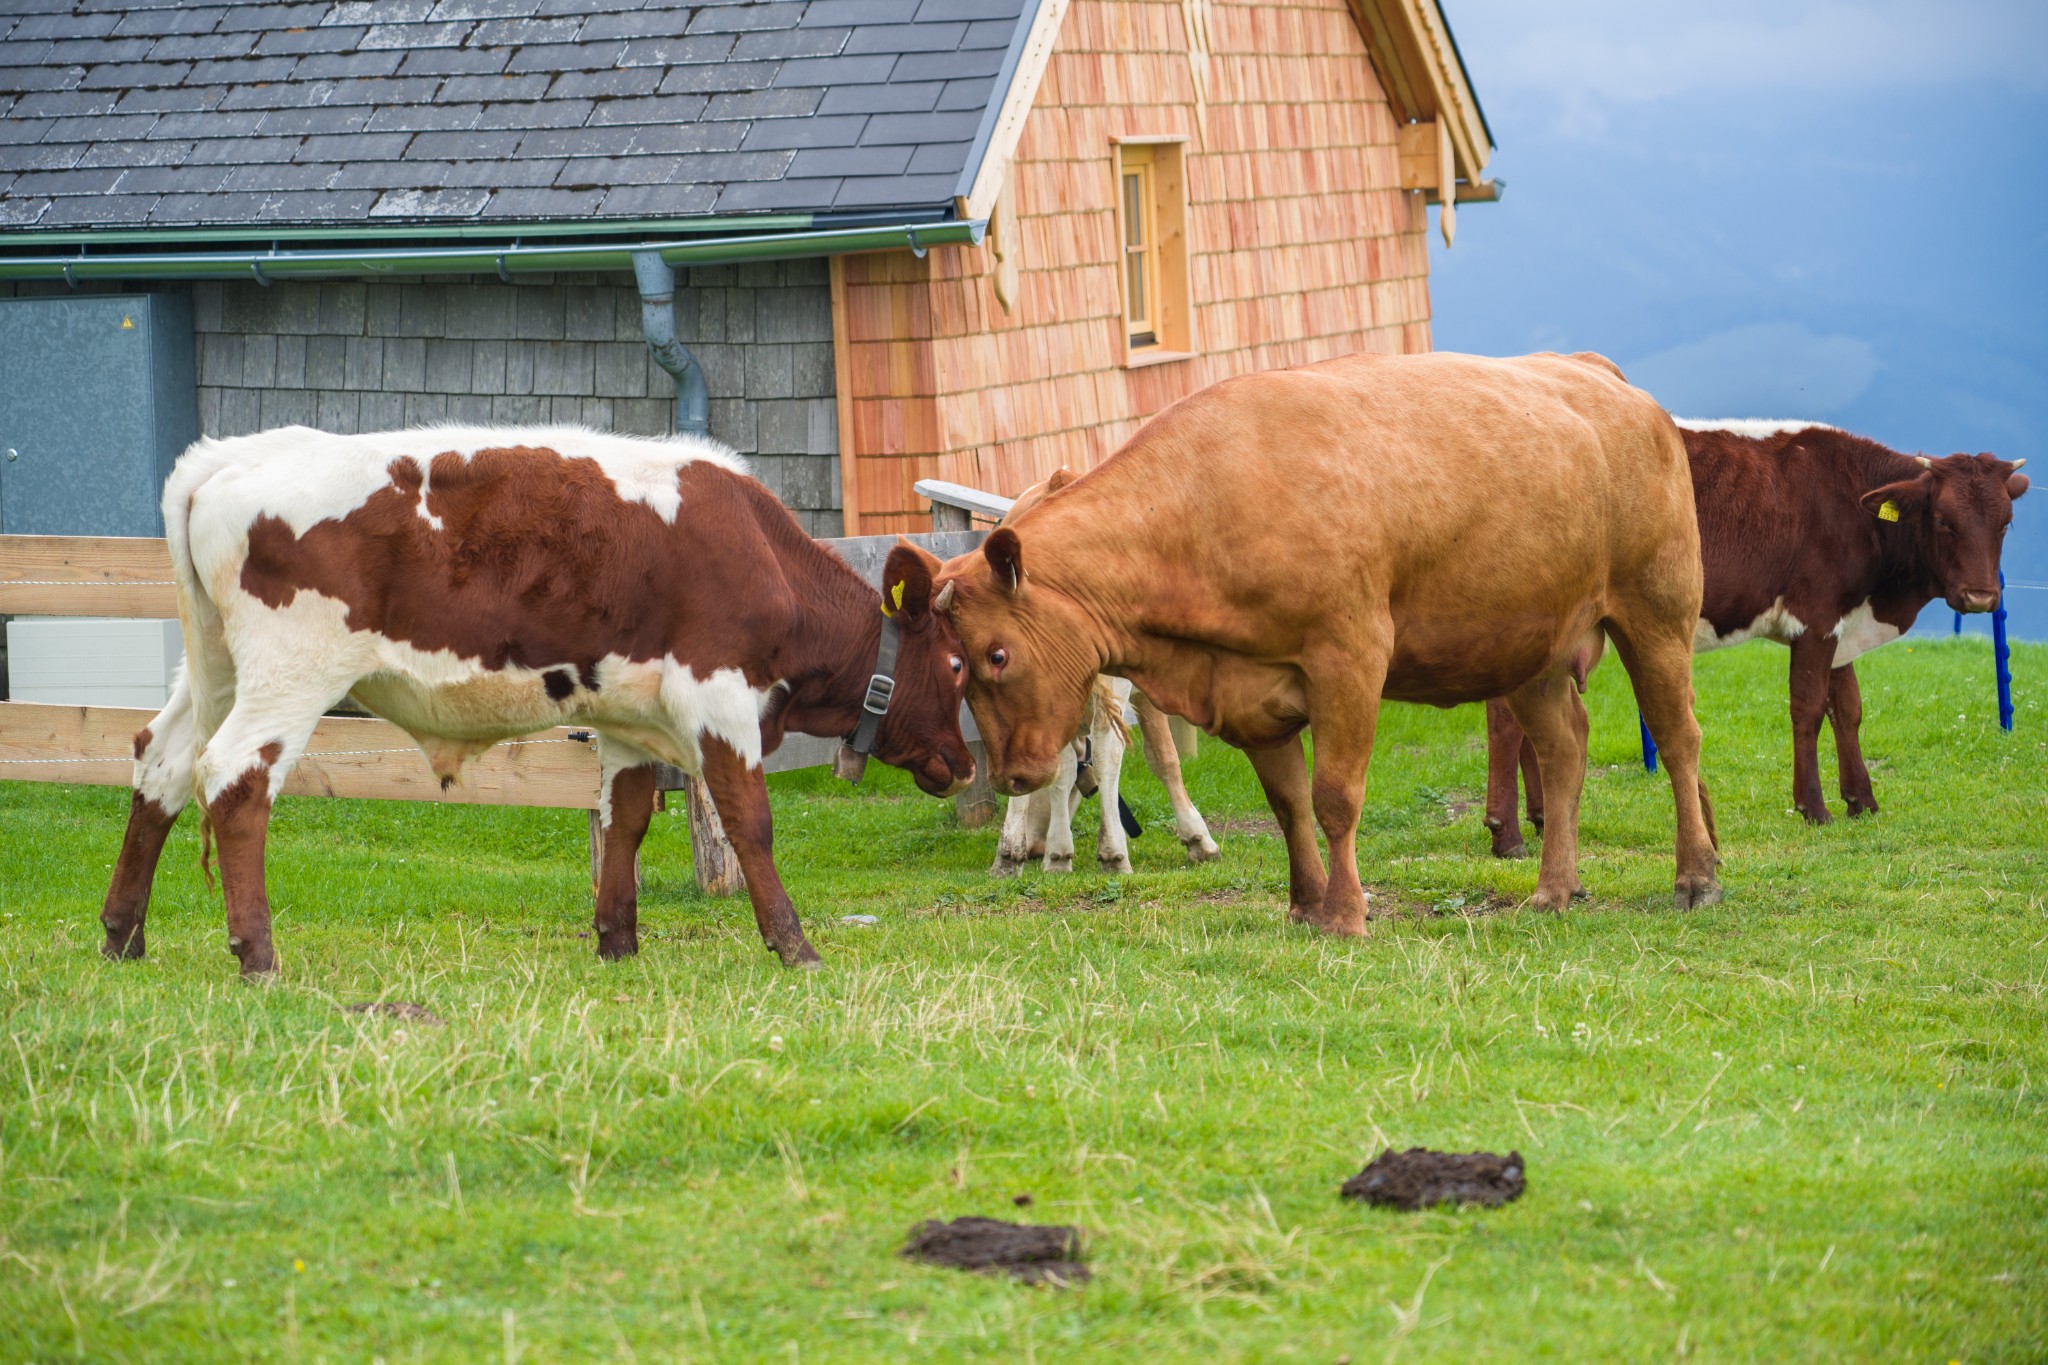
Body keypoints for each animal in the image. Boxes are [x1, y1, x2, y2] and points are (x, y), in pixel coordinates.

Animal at [101, 421, 974, 978]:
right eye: (959, 664)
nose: (965, 764)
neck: (760, 555)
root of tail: (229, 456)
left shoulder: (629, 718)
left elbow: (623, 820)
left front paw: (617, 943)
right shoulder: (719, 698)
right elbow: (750, 822)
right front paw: (795, 947)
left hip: (215, 668)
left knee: (162, 761)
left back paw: (121, 935)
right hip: (292, 671)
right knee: (235, 776)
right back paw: (257, 955)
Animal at [937, 351, 1720, 933]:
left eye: (998, 655)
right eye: (955, 665)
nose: (1010, 775)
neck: (1205, 505)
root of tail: (1595, 372)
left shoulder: (1350, 656)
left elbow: (1335, 795)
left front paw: (1346, 914)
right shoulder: (1249, 693)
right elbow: (1288, 803)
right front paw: (1304, 906)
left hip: (1657, 609)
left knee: (1678, 735)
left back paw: (1697, 876)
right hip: (1531, 648)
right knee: (1564, 749)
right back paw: (1555, 887)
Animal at [1490, 417, 2031, 847]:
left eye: (2006, 523)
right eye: (1942, 520)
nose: (1981, 597)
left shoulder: (1842, 622)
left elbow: (1849, 710)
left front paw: (1863, 800)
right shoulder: (1815, 618)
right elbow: (1808, 710)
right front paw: (1814, 808)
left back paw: (1538, 819)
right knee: (1506, 722)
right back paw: (1508, 833)